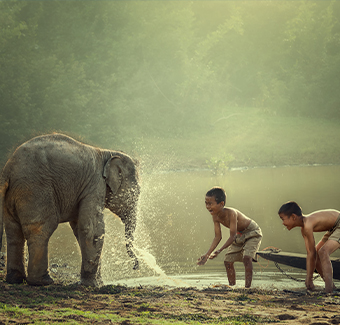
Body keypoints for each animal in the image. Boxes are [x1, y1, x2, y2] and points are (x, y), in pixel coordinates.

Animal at [0, 133, 139, 284]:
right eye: (135, 193)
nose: (136, 267)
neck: (107, 153)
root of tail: (8, 170)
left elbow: (79, 228)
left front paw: (97, 282)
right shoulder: (95, 185)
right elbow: (92, 229)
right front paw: (94, 284)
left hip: (13, 196)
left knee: (14, 232)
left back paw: (15, 279)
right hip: (35, 191)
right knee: (41, 229)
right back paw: (43, 281)